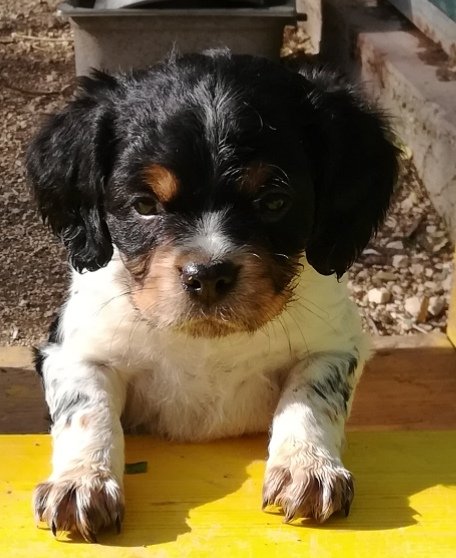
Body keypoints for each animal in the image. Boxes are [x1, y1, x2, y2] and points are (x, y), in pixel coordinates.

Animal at [26, 49, 398, 542]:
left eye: (273, 202)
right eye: (144, 205)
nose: (208, 275)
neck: (208, 343)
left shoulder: (335, 345)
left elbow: (311, 396)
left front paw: (307, 468)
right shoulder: (74, 352)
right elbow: (87, 411)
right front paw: (81, 481)